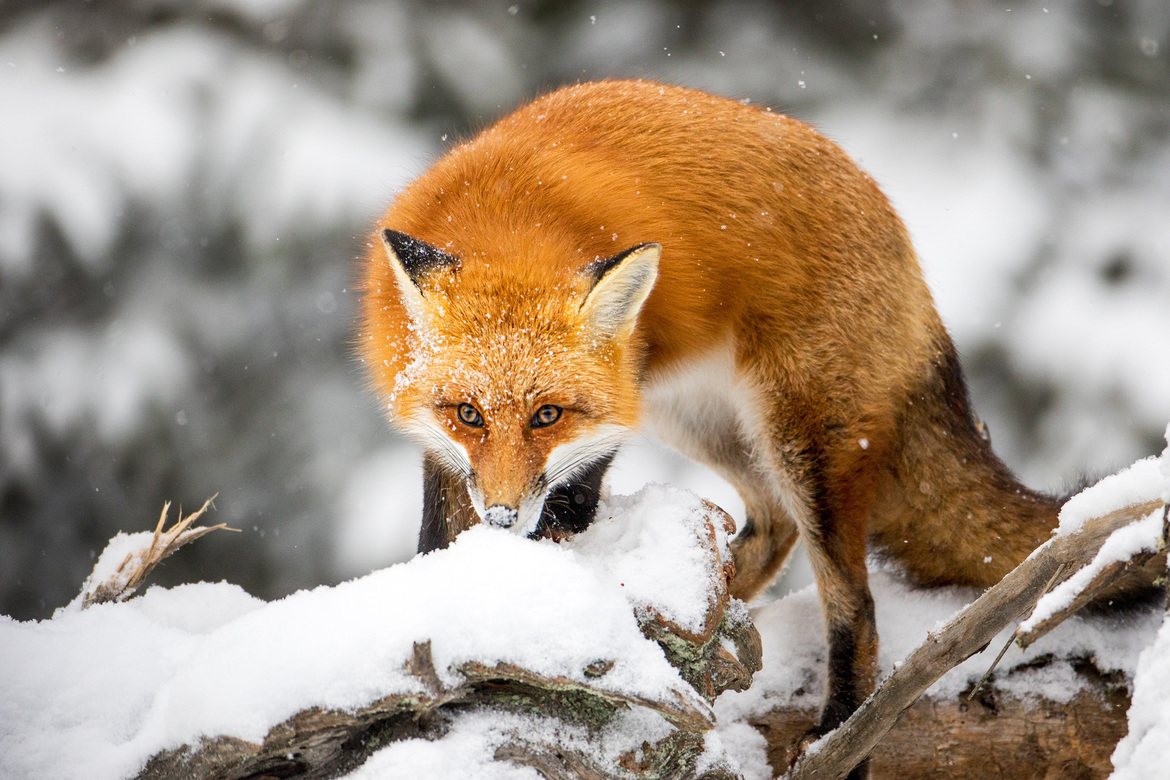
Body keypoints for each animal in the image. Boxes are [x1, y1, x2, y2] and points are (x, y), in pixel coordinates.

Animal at [357, 79, 1157, 770]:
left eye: (548, 415)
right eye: (468, 414)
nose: (500, 516)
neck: (511, 216)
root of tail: (899, 232)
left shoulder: (623, 388)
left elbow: (577, 485)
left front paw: (553, 546)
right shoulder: (476, 443)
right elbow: (437, 534)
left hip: (804, 445)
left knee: (856, 606)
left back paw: (838, 736)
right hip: (704, 422)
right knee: (771, 531)